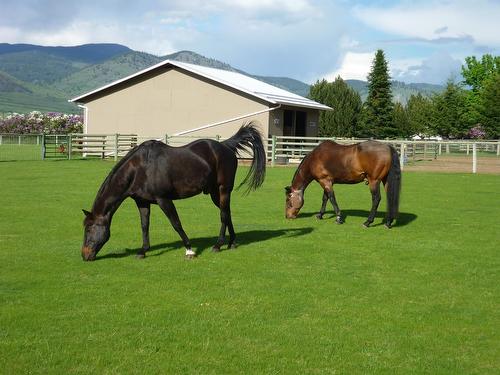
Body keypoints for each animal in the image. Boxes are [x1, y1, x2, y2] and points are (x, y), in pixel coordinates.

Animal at [82, 123, 266, 262]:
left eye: (89, 228)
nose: (84, 255)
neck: (140, 168)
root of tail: (226, 146)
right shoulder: (142, 202)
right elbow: (144, 226)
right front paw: (143, 250)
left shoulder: (164, 200)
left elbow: (176, 223)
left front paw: (189, 250)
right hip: (215, 193)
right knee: (227, 212)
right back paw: (232, 242)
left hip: (223, 189)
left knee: (223, 215)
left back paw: (218, 245)